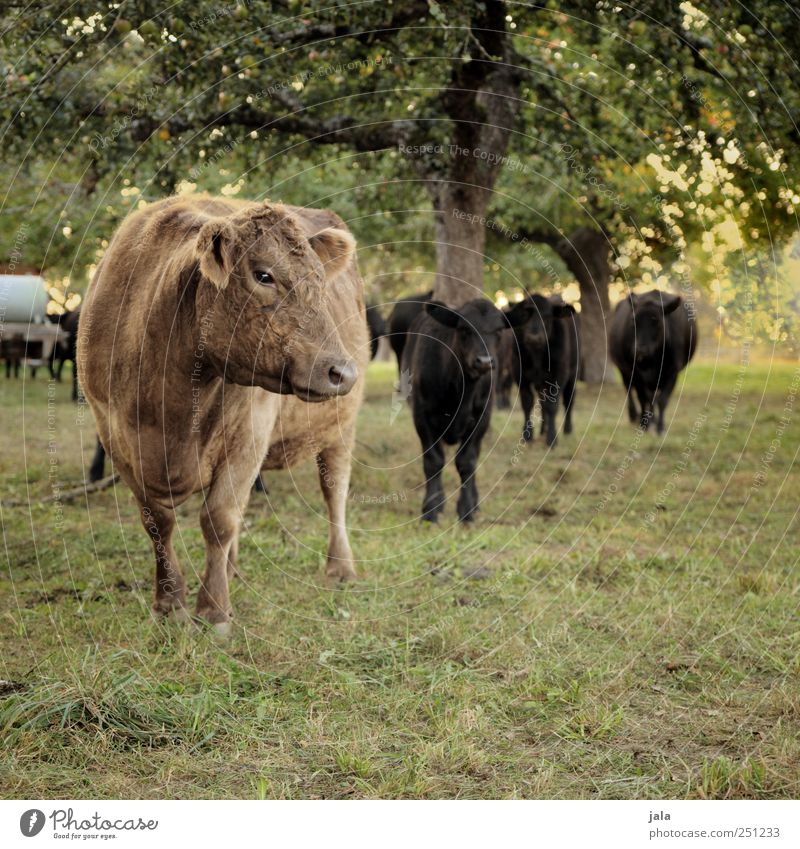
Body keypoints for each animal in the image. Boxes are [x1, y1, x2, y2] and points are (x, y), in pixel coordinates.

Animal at [79, 195, 368, 632]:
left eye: (319, 278)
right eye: (263, 274)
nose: (343, 371)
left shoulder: (248, 432)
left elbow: (219, 517)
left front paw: (214, 610)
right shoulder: (116, 438)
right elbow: (158, 522)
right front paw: (170, 603)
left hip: (341, 426)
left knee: (334, 490)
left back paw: (341, 569)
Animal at [406, 298, 532, 524]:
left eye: (499, 330)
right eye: (464, 329)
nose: (484, 361)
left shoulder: (481, 419)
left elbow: (467, 462)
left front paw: (466, 510)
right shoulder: (421, 416)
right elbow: (433, 461)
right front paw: (430, 510)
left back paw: (475, 503)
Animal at [506, 294, 580, 448]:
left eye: (547, 316)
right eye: (524, 314)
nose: (534, 338)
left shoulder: (558, 376)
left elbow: (552, 406)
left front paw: (552, 439)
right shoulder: (520, 376)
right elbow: (527, 403)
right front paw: (527, 435)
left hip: (572, 373)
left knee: (569, 400)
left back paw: (567, 429)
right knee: (542, 403)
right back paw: (542, 430)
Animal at [608, 290, 696, 430]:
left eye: (657, 321)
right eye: (633, 320)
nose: (640, 351)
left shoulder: (673, 371)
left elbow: (662, 400)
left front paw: (660, 427)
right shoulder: (636, 373)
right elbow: (643, 397)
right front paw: (644, 424)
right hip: (623, 369)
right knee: (629, 390)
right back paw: (634, 415)